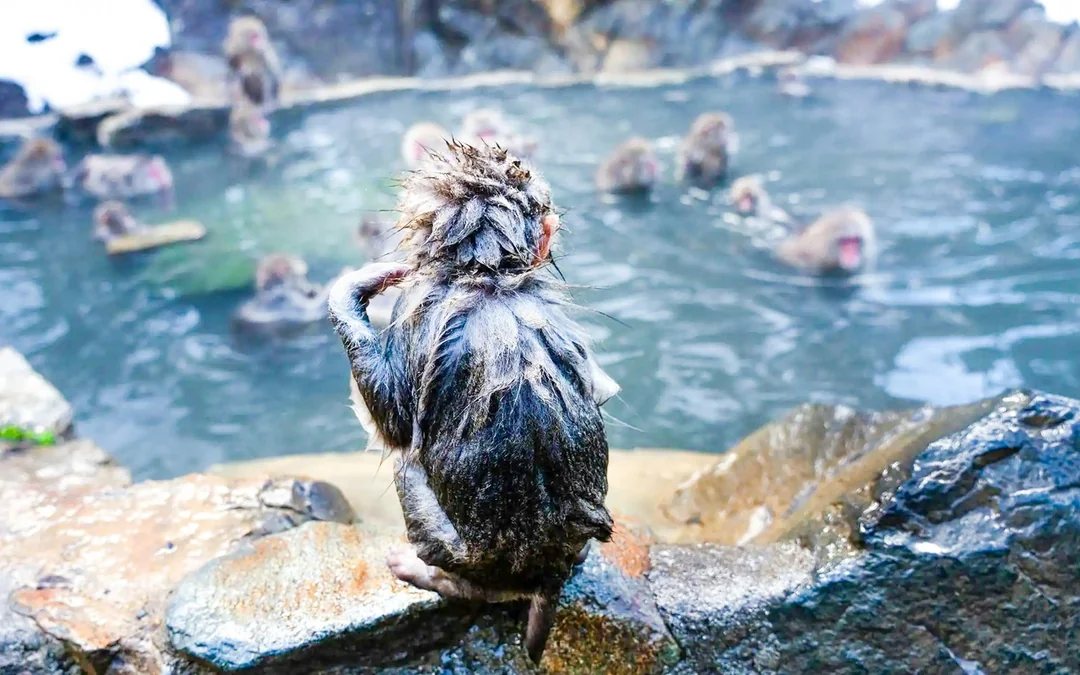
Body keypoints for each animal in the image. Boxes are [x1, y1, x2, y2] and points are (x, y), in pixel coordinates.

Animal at [327, 142, 620, 664]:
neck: (488, 278)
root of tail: (546, 573)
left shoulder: (412, 309)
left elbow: (391, 417)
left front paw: (354, 289)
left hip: (450, 542)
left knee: (406, 468)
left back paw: (432, 575)